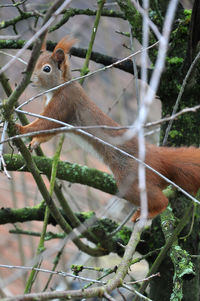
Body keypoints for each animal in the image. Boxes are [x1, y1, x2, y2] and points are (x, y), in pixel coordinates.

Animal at [16, 37, 200, 220]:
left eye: (46, 68)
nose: (30, 78)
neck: (59, 87)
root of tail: (155, 154)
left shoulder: (64, 103)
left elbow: (45, 123)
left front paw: (21, 128)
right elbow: (49, 131)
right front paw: (34, 142)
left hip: (130, 178)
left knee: (160, 200)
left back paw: (152, 210)